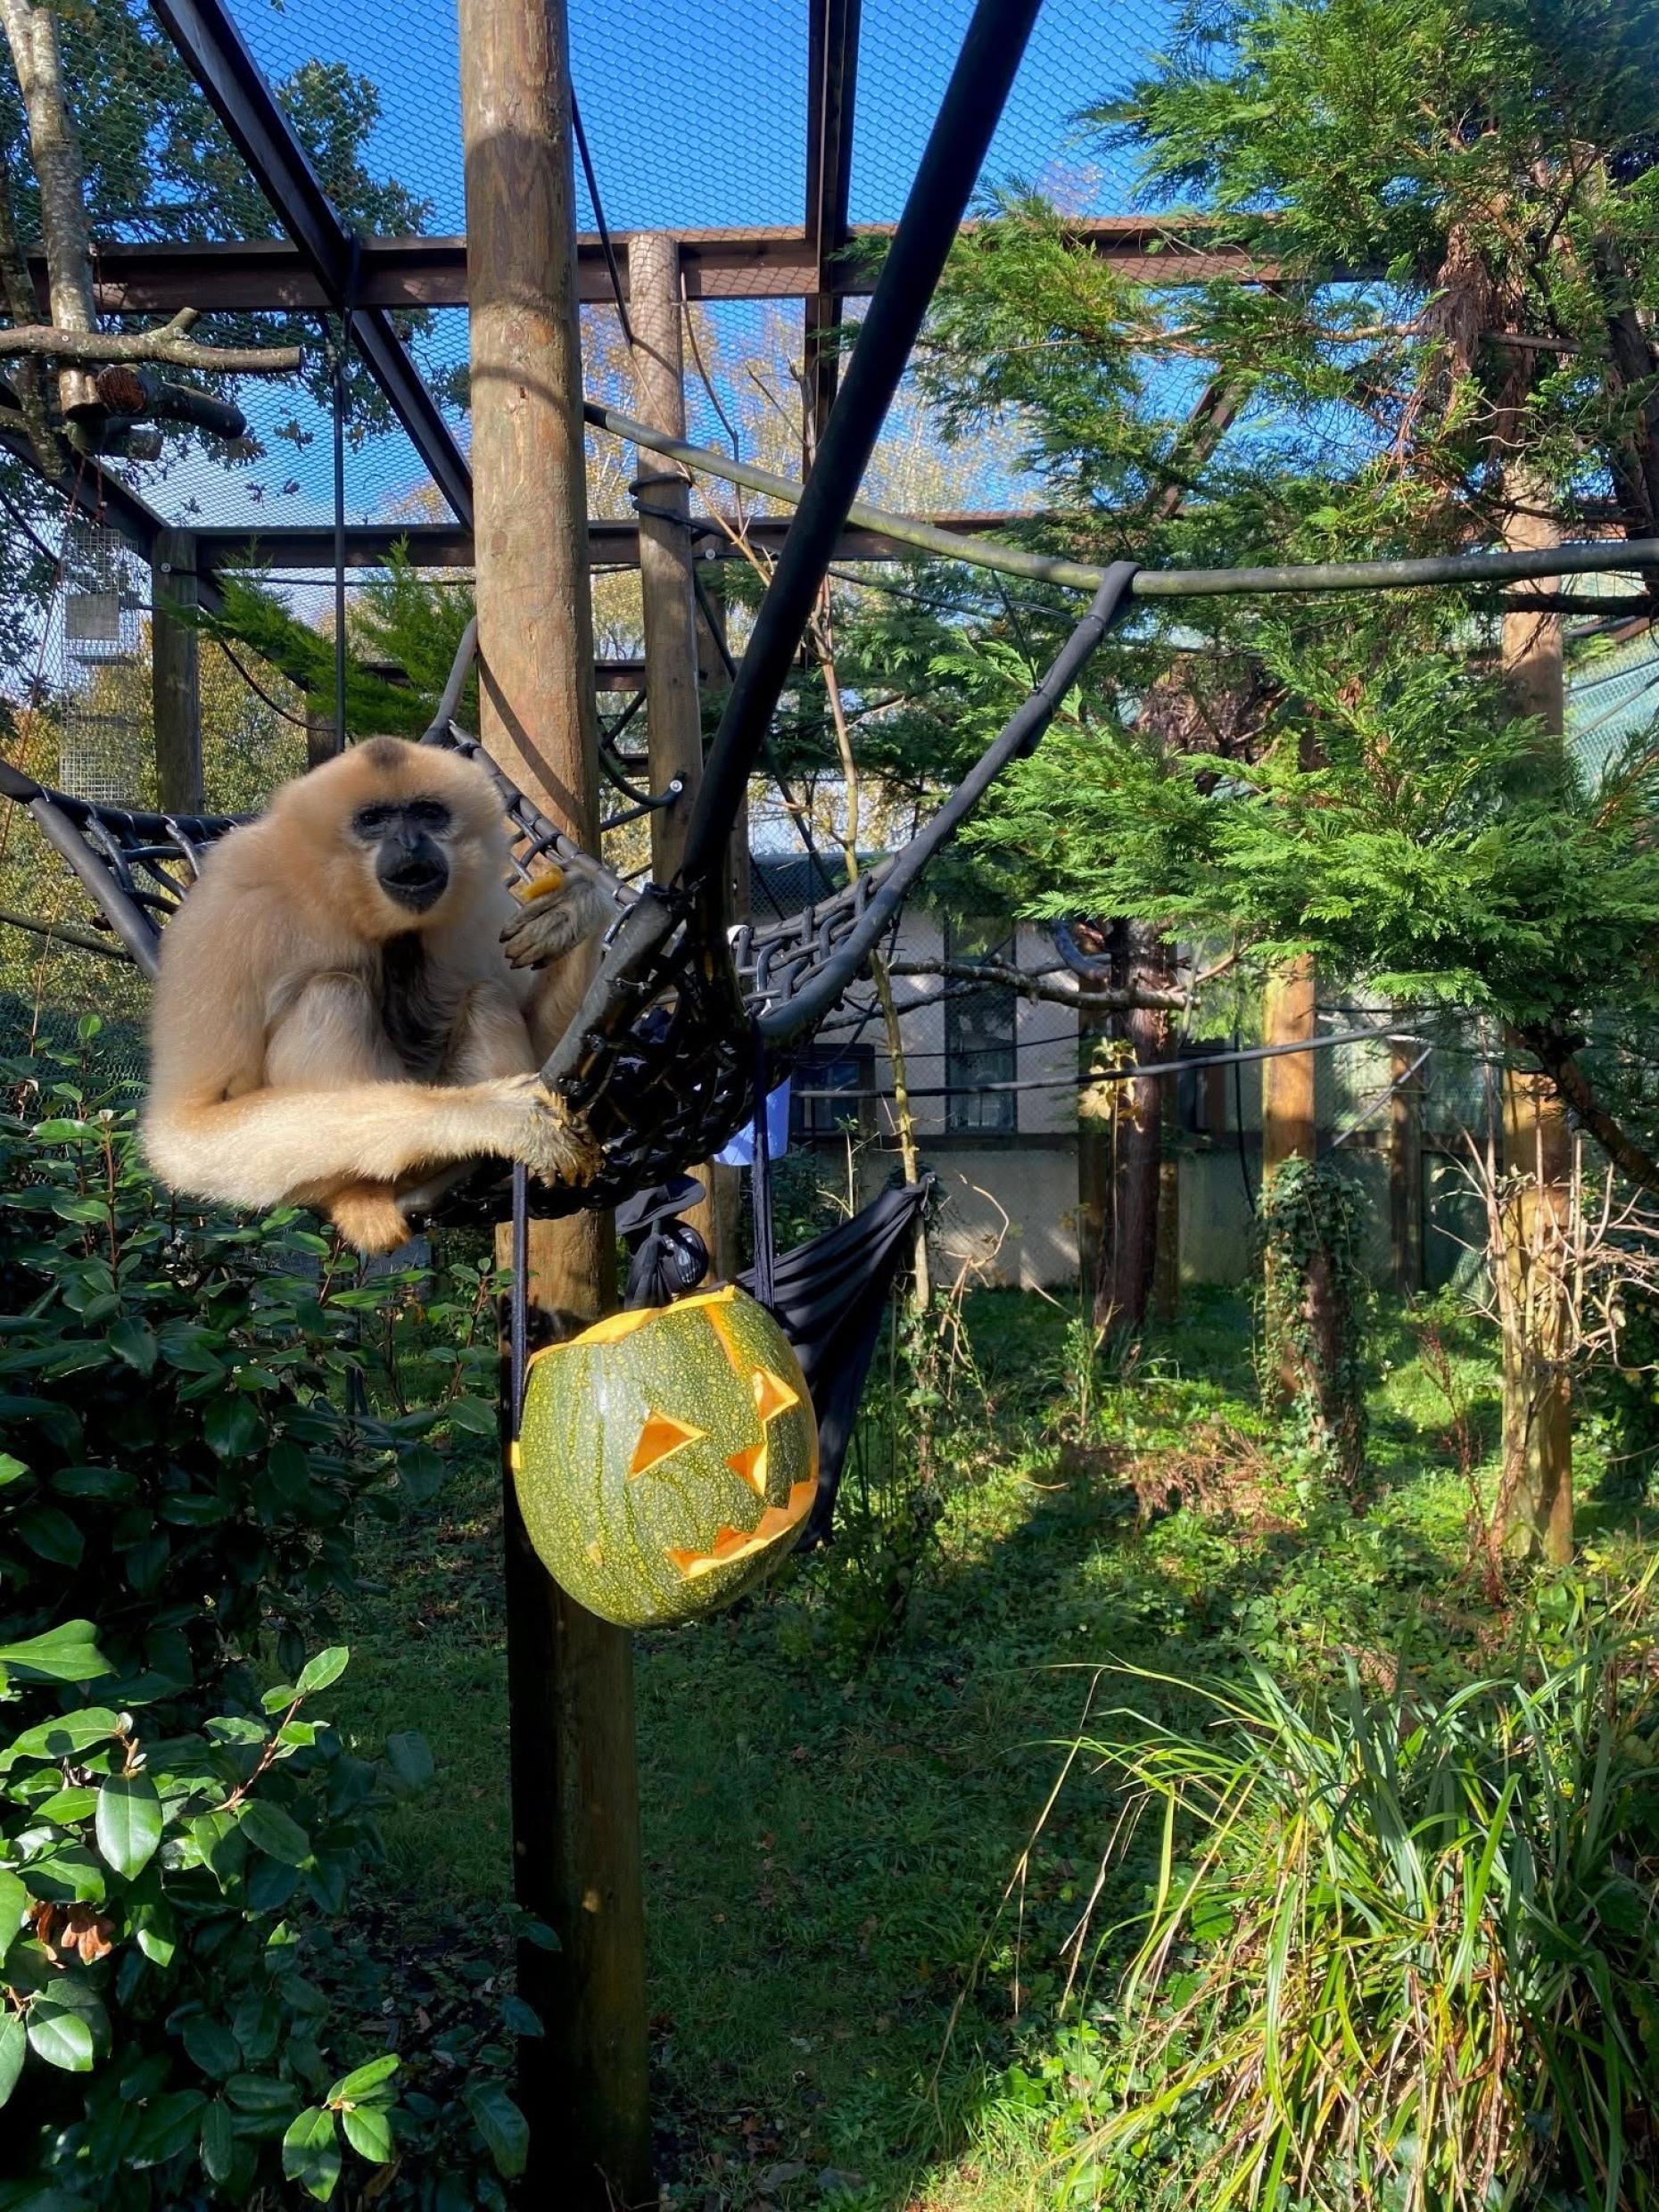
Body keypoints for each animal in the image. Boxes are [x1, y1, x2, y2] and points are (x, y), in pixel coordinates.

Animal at [142, 737, 615, 1255]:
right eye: (374, 819)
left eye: (428, 813)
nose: (410, 842)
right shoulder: (230, 904)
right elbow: (189, 1129)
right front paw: (487, 1115)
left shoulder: (486, 906)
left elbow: (554, 1060)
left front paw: (575, 906)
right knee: (332, 991)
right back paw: (361, 1193)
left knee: (487, 996)